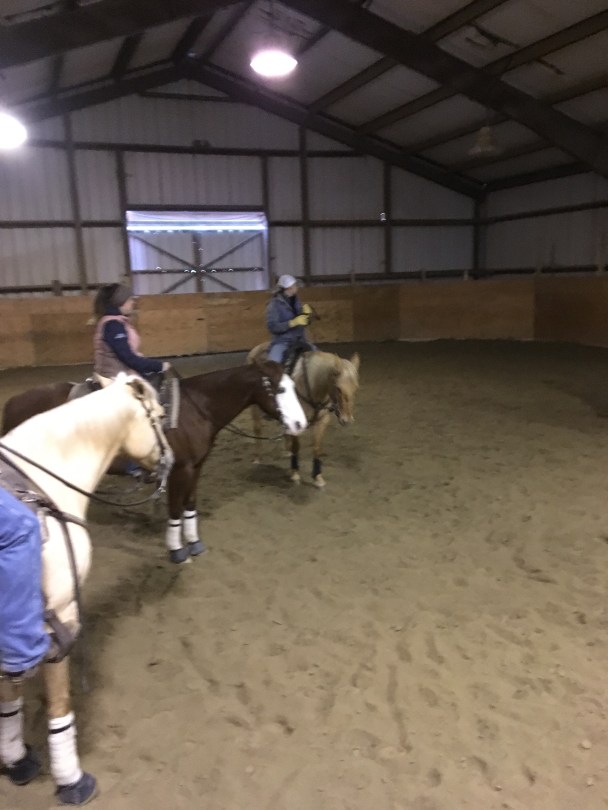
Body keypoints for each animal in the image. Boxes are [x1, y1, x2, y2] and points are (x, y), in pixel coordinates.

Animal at [0, 375, 171, 805]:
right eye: (160, 416)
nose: (170, 459)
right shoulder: (58, 617)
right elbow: (59, 703)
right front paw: (71, 780)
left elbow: (8, 695)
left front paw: (15, 758)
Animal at [1, 360, 307, 564]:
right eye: (280, 389)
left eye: (293, 386)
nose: (300, 424)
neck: (195, 408)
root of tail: (12, 402)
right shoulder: (179, 470)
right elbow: (175, 508)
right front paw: (177, 550)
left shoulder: (197, 467)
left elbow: (190, 504)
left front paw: (194, 542)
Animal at [246, 344, 360, 487]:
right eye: (338, 388)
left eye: (356, 387)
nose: (347, 420)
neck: (312, 386)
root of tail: (255, 350)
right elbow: (297, 447)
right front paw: (295, 474)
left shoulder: (322, 421)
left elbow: (316, 447)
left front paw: (317, 477)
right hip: (254, 407)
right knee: (257, 429)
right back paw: (257, 458)